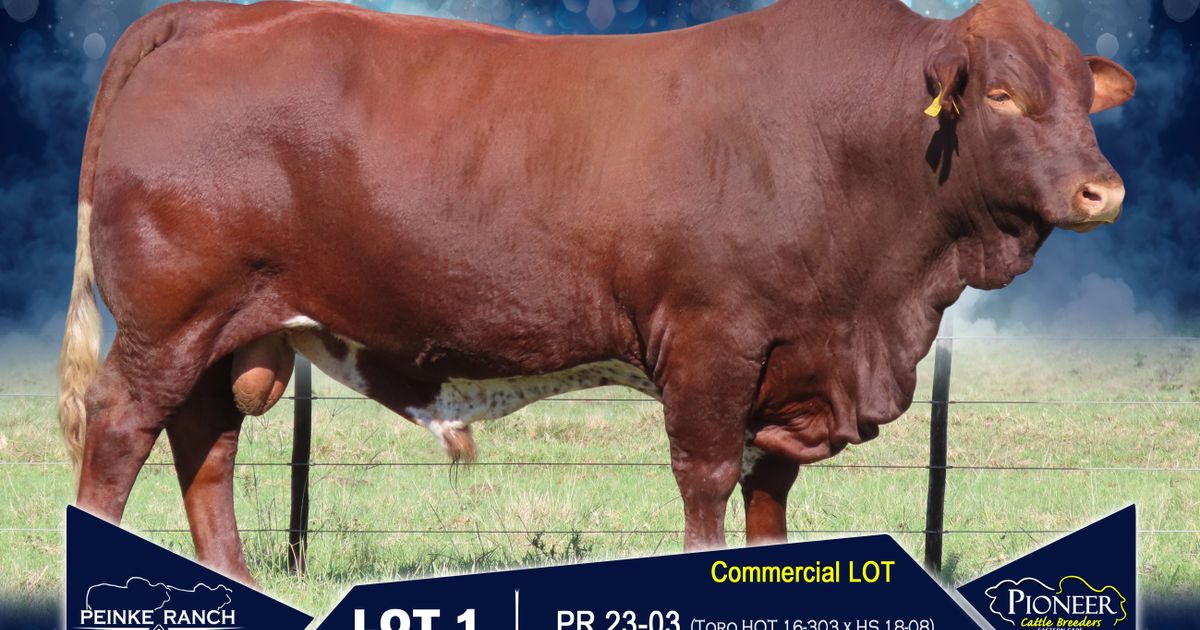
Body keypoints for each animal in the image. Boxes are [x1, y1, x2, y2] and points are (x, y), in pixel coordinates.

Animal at [58, 0, 1134, 585]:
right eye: (1003, 94)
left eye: (1083, 94)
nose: (1105, 190)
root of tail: (215, 17)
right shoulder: (713, 340)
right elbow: (707, 481)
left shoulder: (790, 362)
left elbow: (768, 493)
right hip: (167, 321)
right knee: (120, 432)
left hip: (228, 331)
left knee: (205, 445)